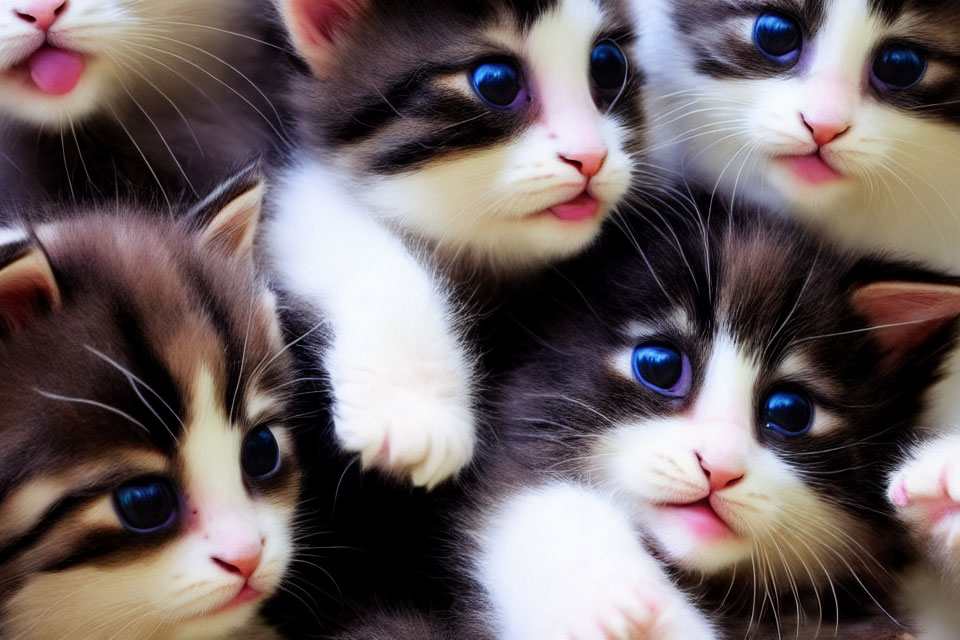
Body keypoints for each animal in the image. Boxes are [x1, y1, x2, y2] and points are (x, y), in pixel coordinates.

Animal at [456, 206, 960, 640]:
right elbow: (528, 493)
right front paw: (614, 600)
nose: (718, 467)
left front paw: (943, 492)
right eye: (658, 365)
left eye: (790, 412)